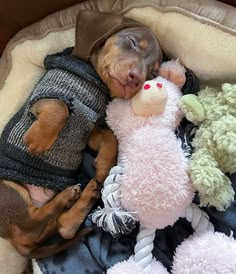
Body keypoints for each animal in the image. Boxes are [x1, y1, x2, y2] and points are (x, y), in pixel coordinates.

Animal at [0, 11, 186, 260]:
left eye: (153, 72)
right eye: (133, 42)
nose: (136, 79)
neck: (93, 80)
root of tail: (14, 238)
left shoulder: (89, 129)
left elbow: (111, 137)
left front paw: (104, 165)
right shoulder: (45, 94)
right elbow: (60, 108)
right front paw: (38, 141)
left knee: (60, 227)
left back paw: (81, 195)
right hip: (9, 188)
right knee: (35, 220)